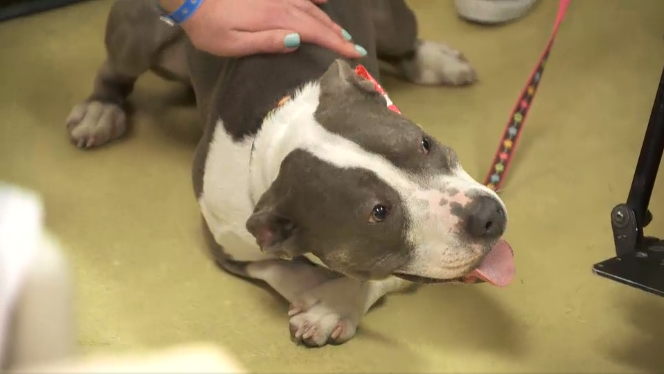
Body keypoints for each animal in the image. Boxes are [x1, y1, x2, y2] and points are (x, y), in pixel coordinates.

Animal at [66, 0, 512, 348]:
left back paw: (437, 62)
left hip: (389, 20)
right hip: (139, 30)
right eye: (378, 213)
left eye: (424, 143)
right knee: (115, 70)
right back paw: (99, 110)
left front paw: (333, 305)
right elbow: (278, 267)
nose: (487, 215)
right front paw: (317, 292)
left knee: (405, 41)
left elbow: (374, 277)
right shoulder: (225, 242)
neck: (281, 131)